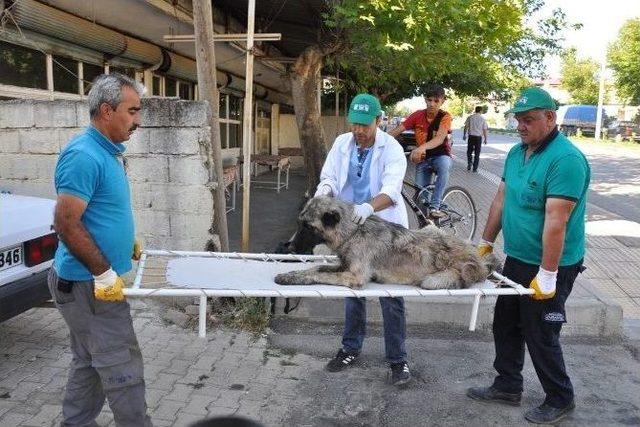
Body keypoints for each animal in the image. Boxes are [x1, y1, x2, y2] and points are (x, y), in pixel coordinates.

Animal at [274, 197, 500, 290]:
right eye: (299, 223)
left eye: (308, 226)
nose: (289, 247)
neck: (353, 232)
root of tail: (480, 258)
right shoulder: (343, 265)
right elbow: (316, 268)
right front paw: (292, 274)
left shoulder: (354, 276)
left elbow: (319, 275)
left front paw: (294, 278)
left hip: (436, 279)